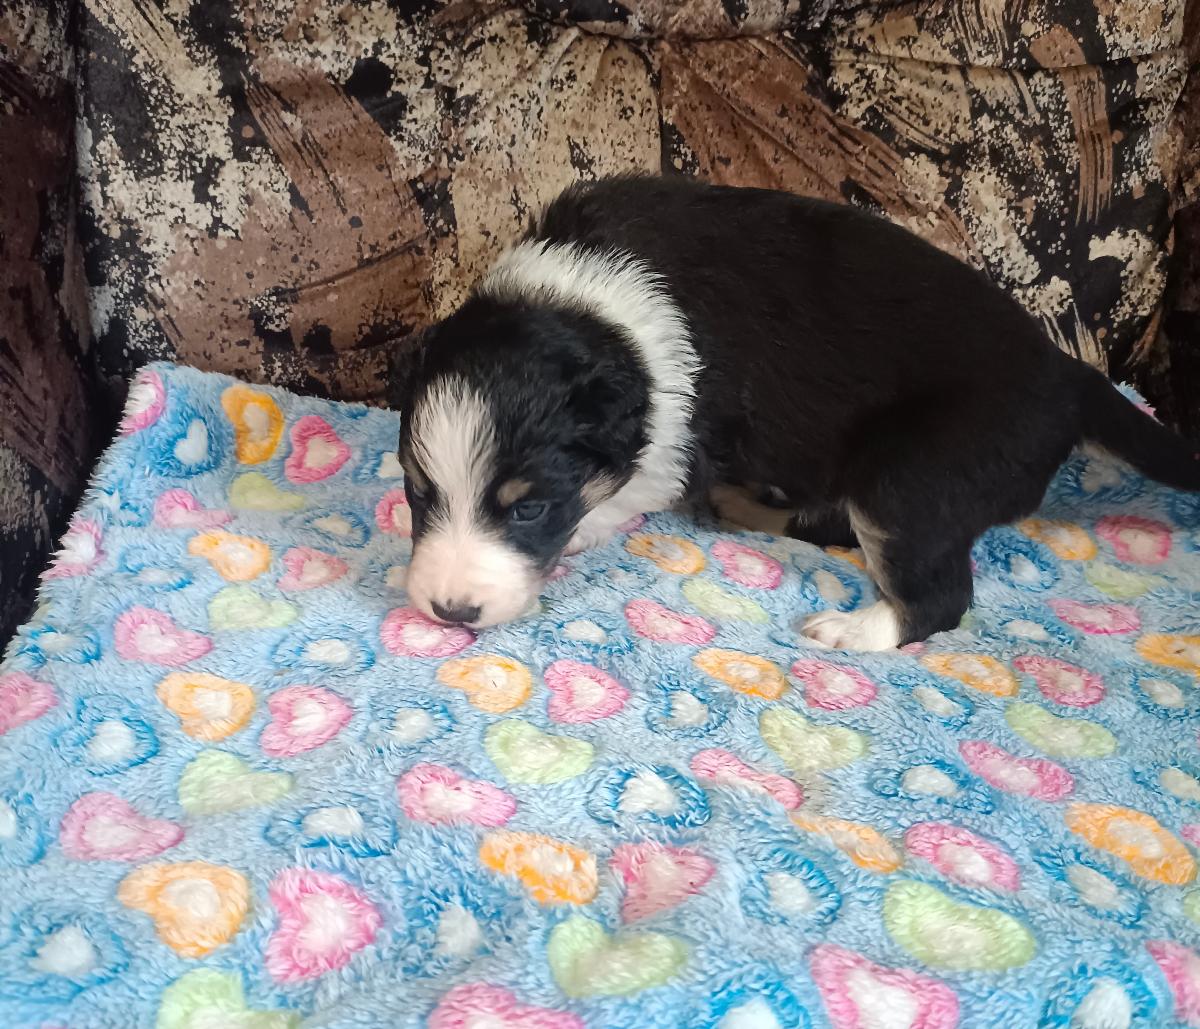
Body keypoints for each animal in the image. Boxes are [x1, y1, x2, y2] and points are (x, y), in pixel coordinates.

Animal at [393, 174, 1200, 648]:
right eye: (419, 493)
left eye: (529, 508)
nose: (449, 611)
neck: (586, 300)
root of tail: (1071, 375)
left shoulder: (682, 423)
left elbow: (635, 484)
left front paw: (590, 526)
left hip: (911, 474)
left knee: (937, 598)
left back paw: (853, 629)